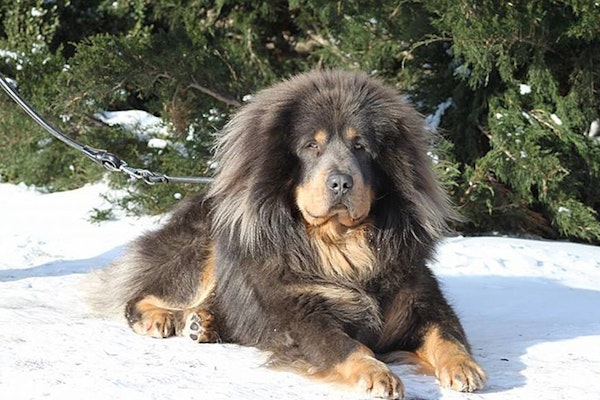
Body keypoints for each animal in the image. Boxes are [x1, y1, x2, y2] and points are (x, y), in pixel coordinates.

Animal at [91, 70, 486, 398]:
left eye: (361, 146)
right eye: (312, 146)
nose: (340, 182)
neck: (342, 246)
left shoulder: (422, 299)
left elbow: (447, 335)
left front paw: (465, 367)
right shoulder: (299, 313)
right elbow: (345, 346)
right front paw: (377, 374)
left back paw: (204, 323)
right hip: (202, 249)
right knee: (143, 293)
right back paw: (162, 317)